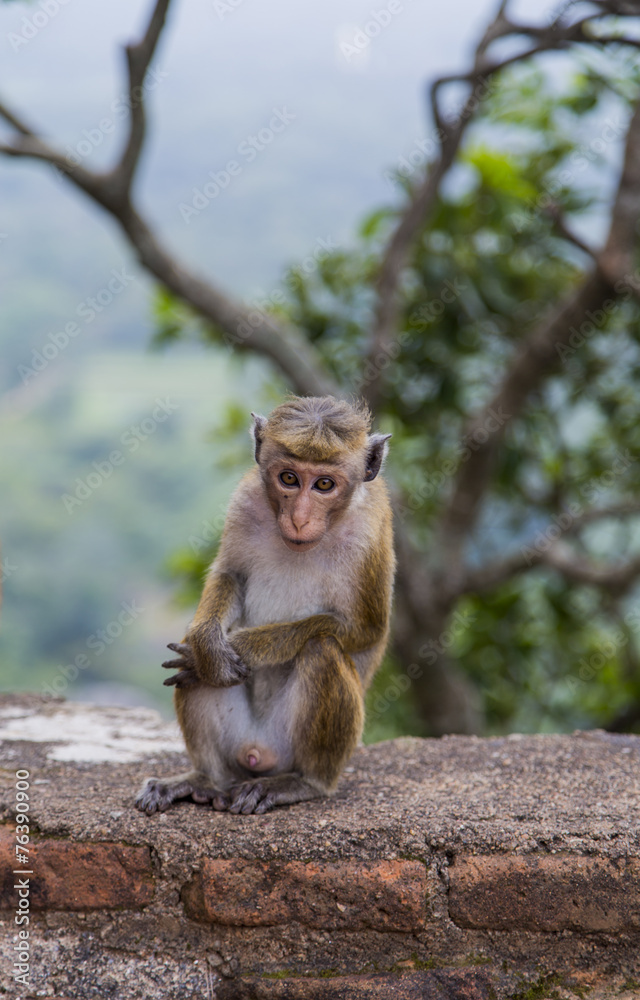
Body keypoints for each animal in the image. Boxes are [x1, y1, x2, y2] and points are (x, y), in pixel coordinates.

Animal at [136, 395, 395, 816]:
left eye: (324, 484)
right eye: (288, 478)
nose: (300, 518)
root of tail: (256, 755)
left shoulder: (371, 532)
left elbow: (365, 630)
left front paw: (246, 646)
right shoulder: (246, 501)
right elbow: (231, 575)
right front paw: (209, 646)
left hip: (292, 747)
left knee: (322, 648)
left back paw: (303, 783)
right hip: (237, 746)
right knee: (201, 677)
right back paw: (203, 779)